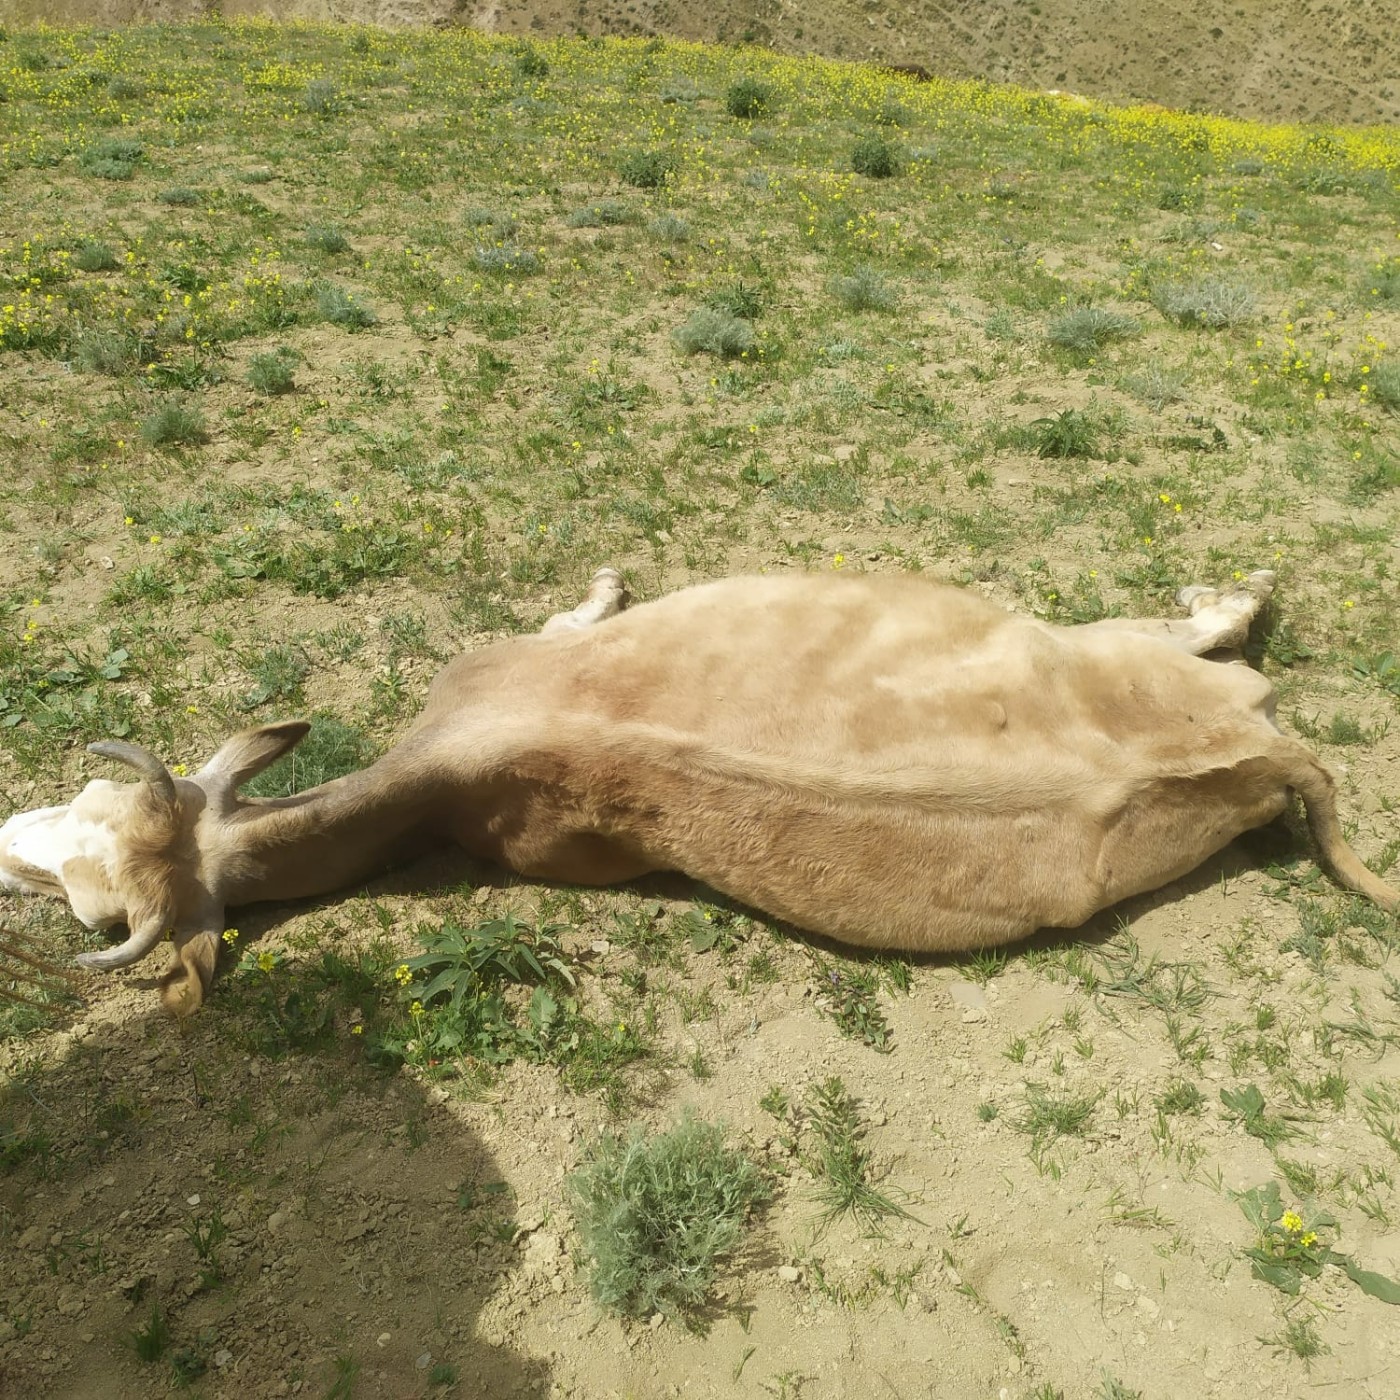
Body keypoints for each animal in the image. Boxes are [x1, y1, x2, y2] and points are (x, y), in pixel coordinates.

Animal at [0, 568, 1394, 1019]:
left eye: (91, 813)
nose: (5, 830)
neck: (443, 777)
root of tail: (1260, 747)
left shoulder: (509, 651)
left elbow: (577, 607)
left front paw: (609, 580)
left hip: (1113, 640)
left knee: (1218, 624)